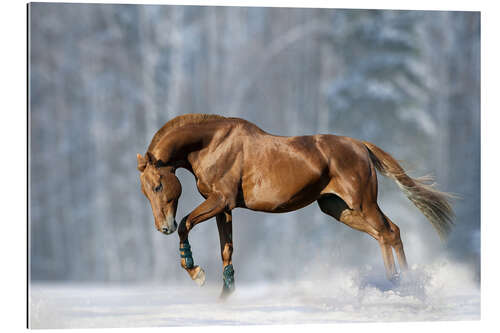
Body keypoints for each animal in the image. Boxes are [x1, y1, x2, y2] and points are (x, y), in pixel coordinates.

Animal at [137, 113, 454, 296]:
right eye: (145, 192)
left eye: (158, 185)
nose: (163, 227)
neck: (212, 143)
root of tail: (361, 146)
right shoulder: (224, 208)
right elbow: (226, 251)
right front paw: (226, 295)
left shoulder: (219, 200)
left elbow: (187, 223)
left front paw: (196, 272)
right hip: (340, 209)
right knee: (387, 233)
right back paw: (401, 282)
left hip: (363, 203)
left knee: (388, 233)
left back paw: (402, 284)